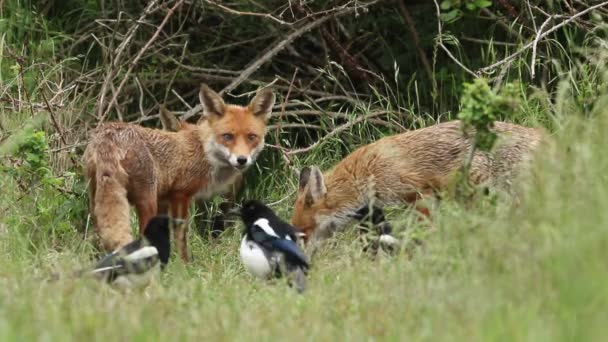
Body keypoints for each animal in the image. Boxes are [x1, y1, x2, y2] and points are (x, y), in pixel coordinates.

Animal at [84, 84, 274, 260]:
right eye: (227, 136)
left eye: (252, 137)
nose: (242, 160)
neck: (203, 150)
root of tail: (108, 133)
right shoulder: (181, 195)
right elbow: (180, 235)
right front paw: (184, 264)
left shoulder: (164, 200)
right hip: (147, 201)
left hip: (97, 200)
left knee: (98, 236)